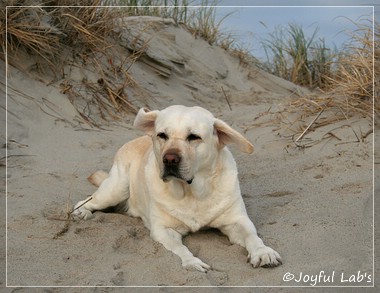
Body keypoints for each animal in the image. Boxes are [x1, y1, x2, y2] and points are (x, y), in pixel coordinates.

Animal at [73, 105, 282, 272]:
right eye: (162, 135)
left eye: (194, 137)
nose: (169, 159)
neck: (193, 194)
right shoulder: (163, 230)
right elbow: (181, 249)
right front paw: (192, 262)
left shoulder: (237, 220)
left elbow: (252, 235)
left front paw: (263, 252)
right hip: (117, 188)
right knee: (86, 200)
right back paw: (82, 212)